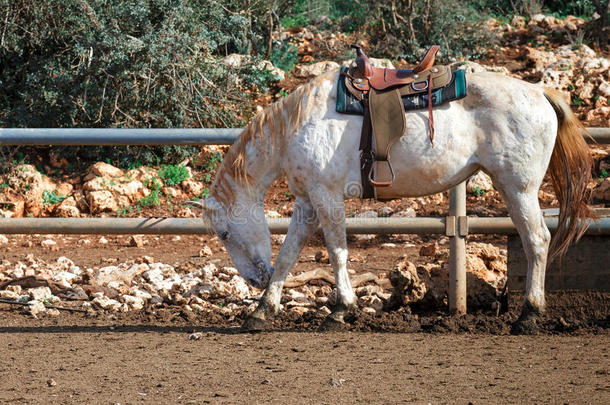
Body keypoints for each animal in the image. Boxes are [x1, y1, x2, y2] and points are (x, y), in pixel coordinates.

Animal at [194, 69, 588, 332]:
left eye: (224, 234)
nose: (254, 280)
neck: (298, 125)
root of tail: (539, 93)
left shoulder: (327, 196)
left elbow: (337, 252)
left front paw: (341, 310)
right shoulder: (307, 201)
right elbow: (289, 254)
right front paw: (262, 309)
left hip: (518, 189)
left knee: (537, 240)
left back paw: (529, 316)